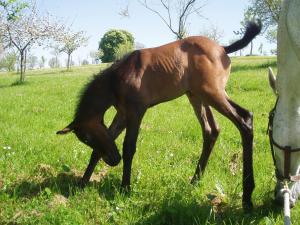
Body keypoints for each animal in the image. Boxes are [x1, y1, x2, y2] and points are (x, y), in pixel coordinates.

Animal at [57, 21, 262, 209]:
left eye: (88, 137)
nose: (114, 160)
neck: (116, 80)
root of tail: (222, 48)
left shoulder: (136, 111)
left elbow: (128, 147)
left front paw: (125, 188)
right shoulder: (122, 114)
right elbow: (102, 146)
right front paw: (82, 182)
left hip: (212, 93)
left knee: (244, 119)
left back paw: (247, 197)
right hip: (198, 96)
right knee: (211, 130)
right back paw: (195, 180)